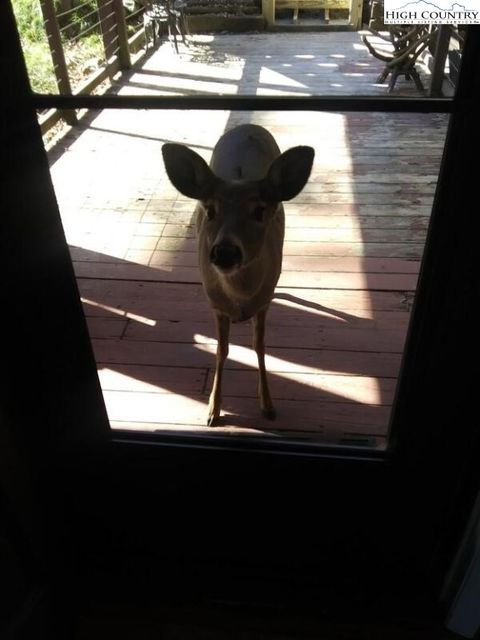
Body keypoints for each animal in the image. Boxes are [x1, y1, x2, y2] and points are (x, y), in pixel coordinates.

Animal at [163, 124, 316, 424]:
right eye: (210, 209)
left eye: (259, 210)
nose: (225, 252)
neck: (240, 296)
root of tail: (249, 126)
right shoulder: (215, 305)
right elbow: (221, 351)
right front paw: (213, 409)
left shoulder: (263, 303)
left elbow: (260, 346)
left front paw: (267, 405)